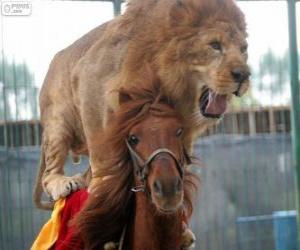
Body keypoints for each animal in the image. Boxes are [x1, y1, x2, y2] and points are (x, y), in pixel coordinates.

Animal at [32, 0, 250, 209]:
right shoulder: (90, 80)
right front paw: (103, 185)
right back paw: (65, 182)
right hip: (58, 124)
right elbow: (101, 150)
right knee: (49, 173)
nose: (244, 75)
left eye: (243, 49)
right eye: (215, 45)